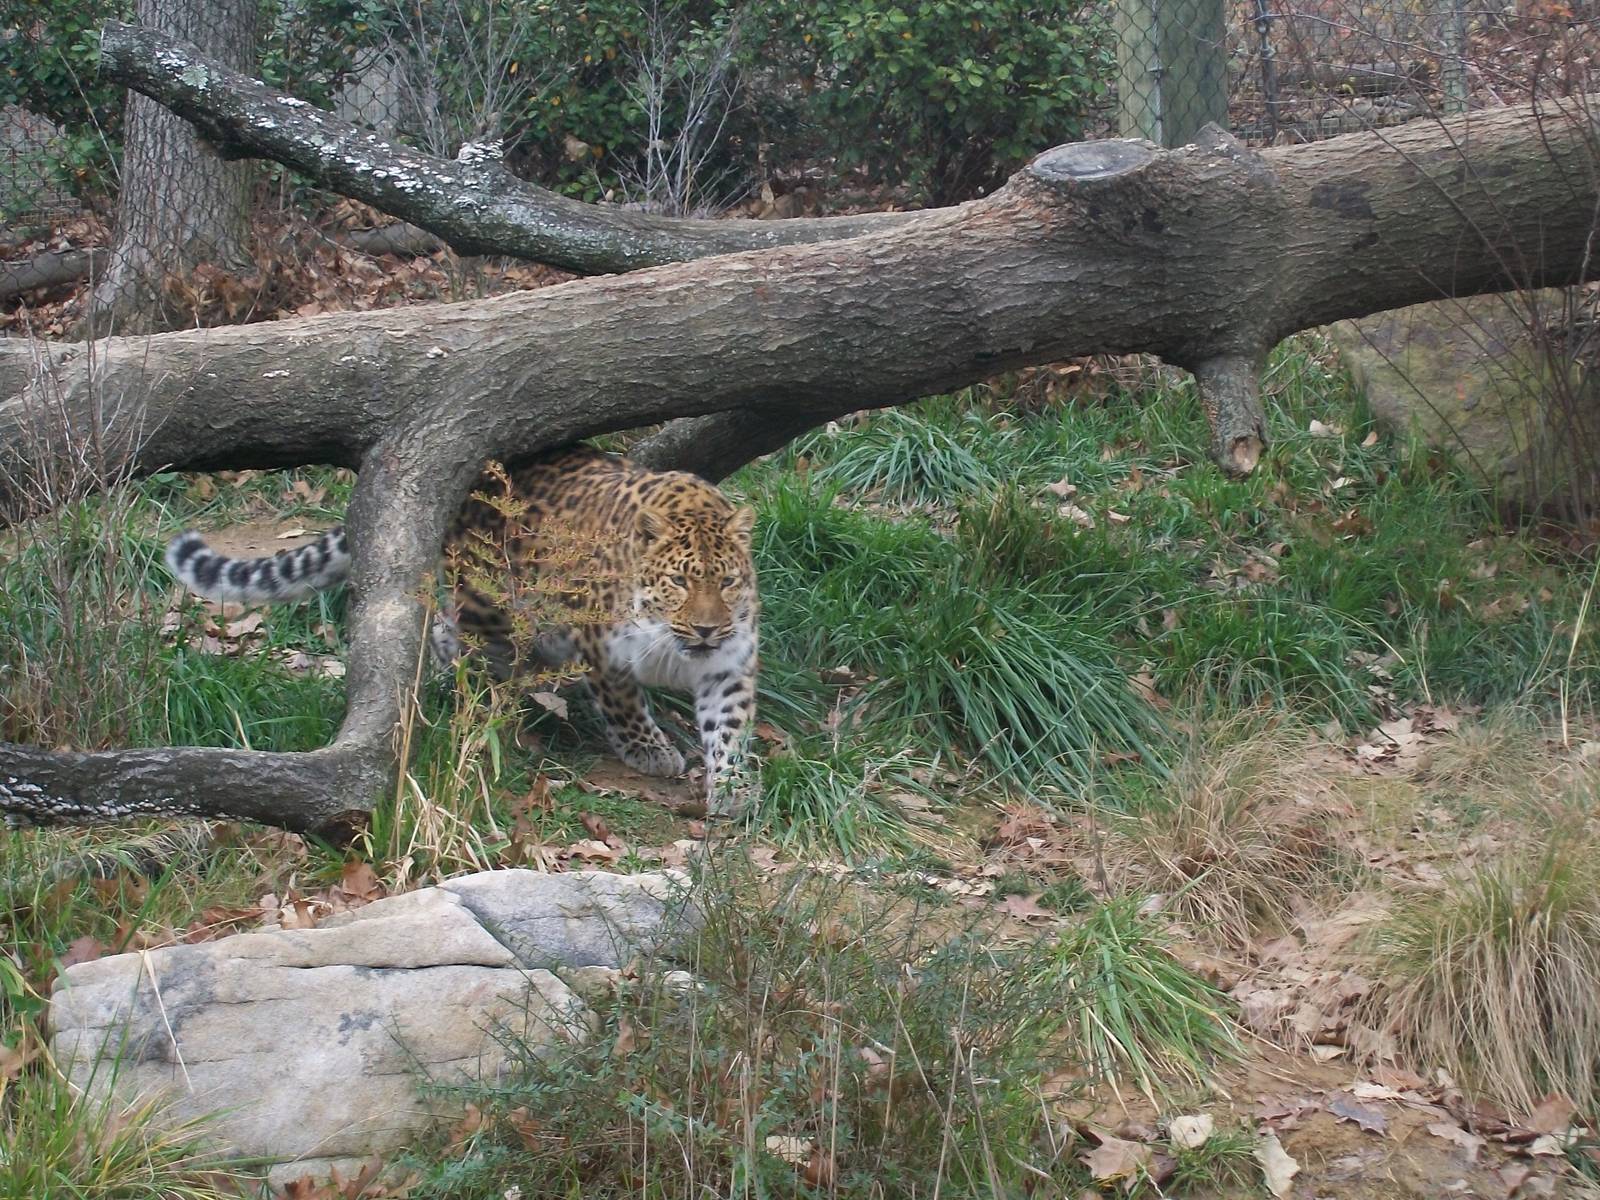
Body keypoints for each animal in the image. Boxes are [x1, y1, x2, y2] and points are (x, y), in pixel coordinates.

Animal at [164, 447, 759, 815]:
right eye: (679, 581)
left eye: (727, 581)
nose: (705, 629)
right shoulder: (603, 648)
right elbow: (625, 705)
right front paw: (650, 751)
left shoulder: (729, 664)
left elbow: (729, 726)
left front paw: (733, 787)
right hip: (490, 602)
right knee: (470, 649)